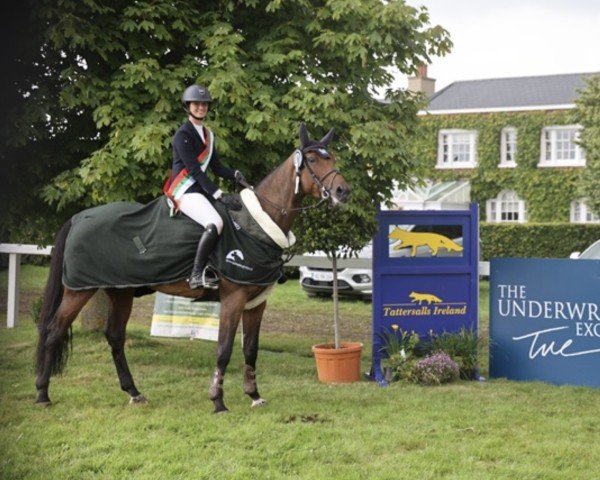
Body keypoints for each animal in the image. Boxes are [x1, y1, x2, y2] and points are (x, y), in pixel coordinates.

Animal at [34, 124, 352, 412]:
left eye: (333, 157)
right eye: (312, 160)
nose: (343, 191)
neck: (255, 223)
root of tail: (79, 218)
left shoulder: (255, 303)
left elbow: (250, 350)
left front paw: (254, 396)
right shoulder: (233, 299)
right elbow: (224, 349)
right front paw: (218, 401)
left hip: (120, 291)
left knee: (114, 337)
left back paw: (134, 392)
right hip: (78, 291)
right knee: (53, 331)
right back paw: (42, 395)